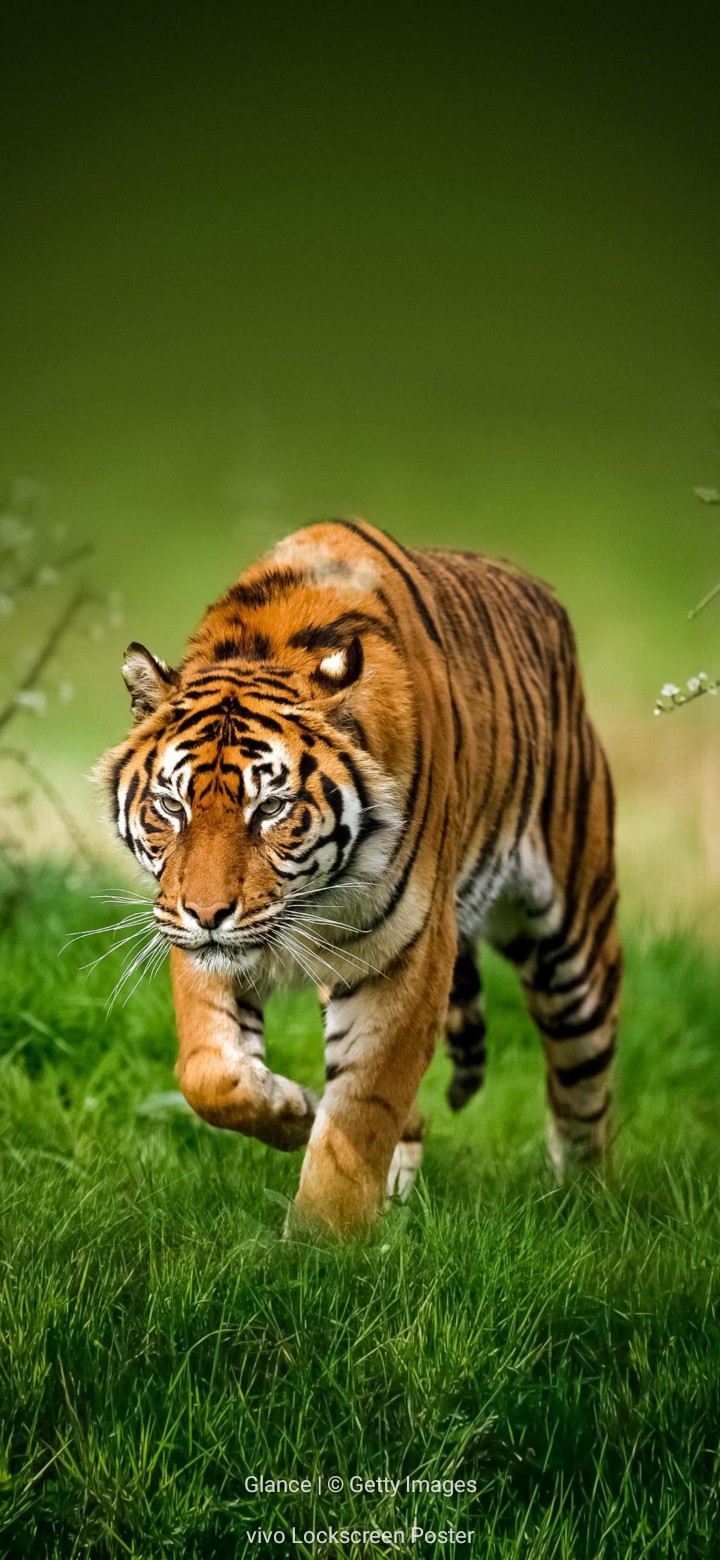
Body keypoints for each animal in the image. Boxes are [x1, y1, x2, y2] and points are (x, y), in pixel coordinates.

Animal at [98, 517, 621, 1233]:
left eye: (272, 808)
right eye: (171, 806)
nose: (208, 915)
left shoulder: (407, 955)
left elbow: (362, 1115)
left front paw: (320, 1242)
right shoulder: (191, 936)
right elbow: (209, 1073)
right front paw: (295, 1112)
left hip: (574, 946)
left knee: (584, 1088)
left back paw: (586, 1209)